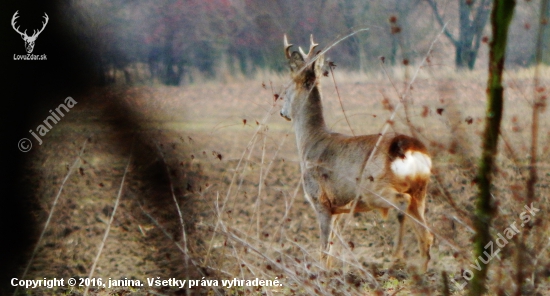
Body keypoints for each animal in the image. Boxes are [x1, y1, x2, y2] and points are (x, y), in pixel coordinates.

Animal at [280, 34, 436, 270]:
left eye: (287, 87)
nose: (283, 112)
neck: (310, 141)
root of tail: (411, 148)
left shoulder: (320, 200)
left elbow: (323, 249)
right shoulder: (338, 208)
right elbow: (331, 250)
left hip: (374, 189)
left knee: (402, 203)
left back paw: (397, 256)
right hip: (421, 192)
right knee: (426, 236)